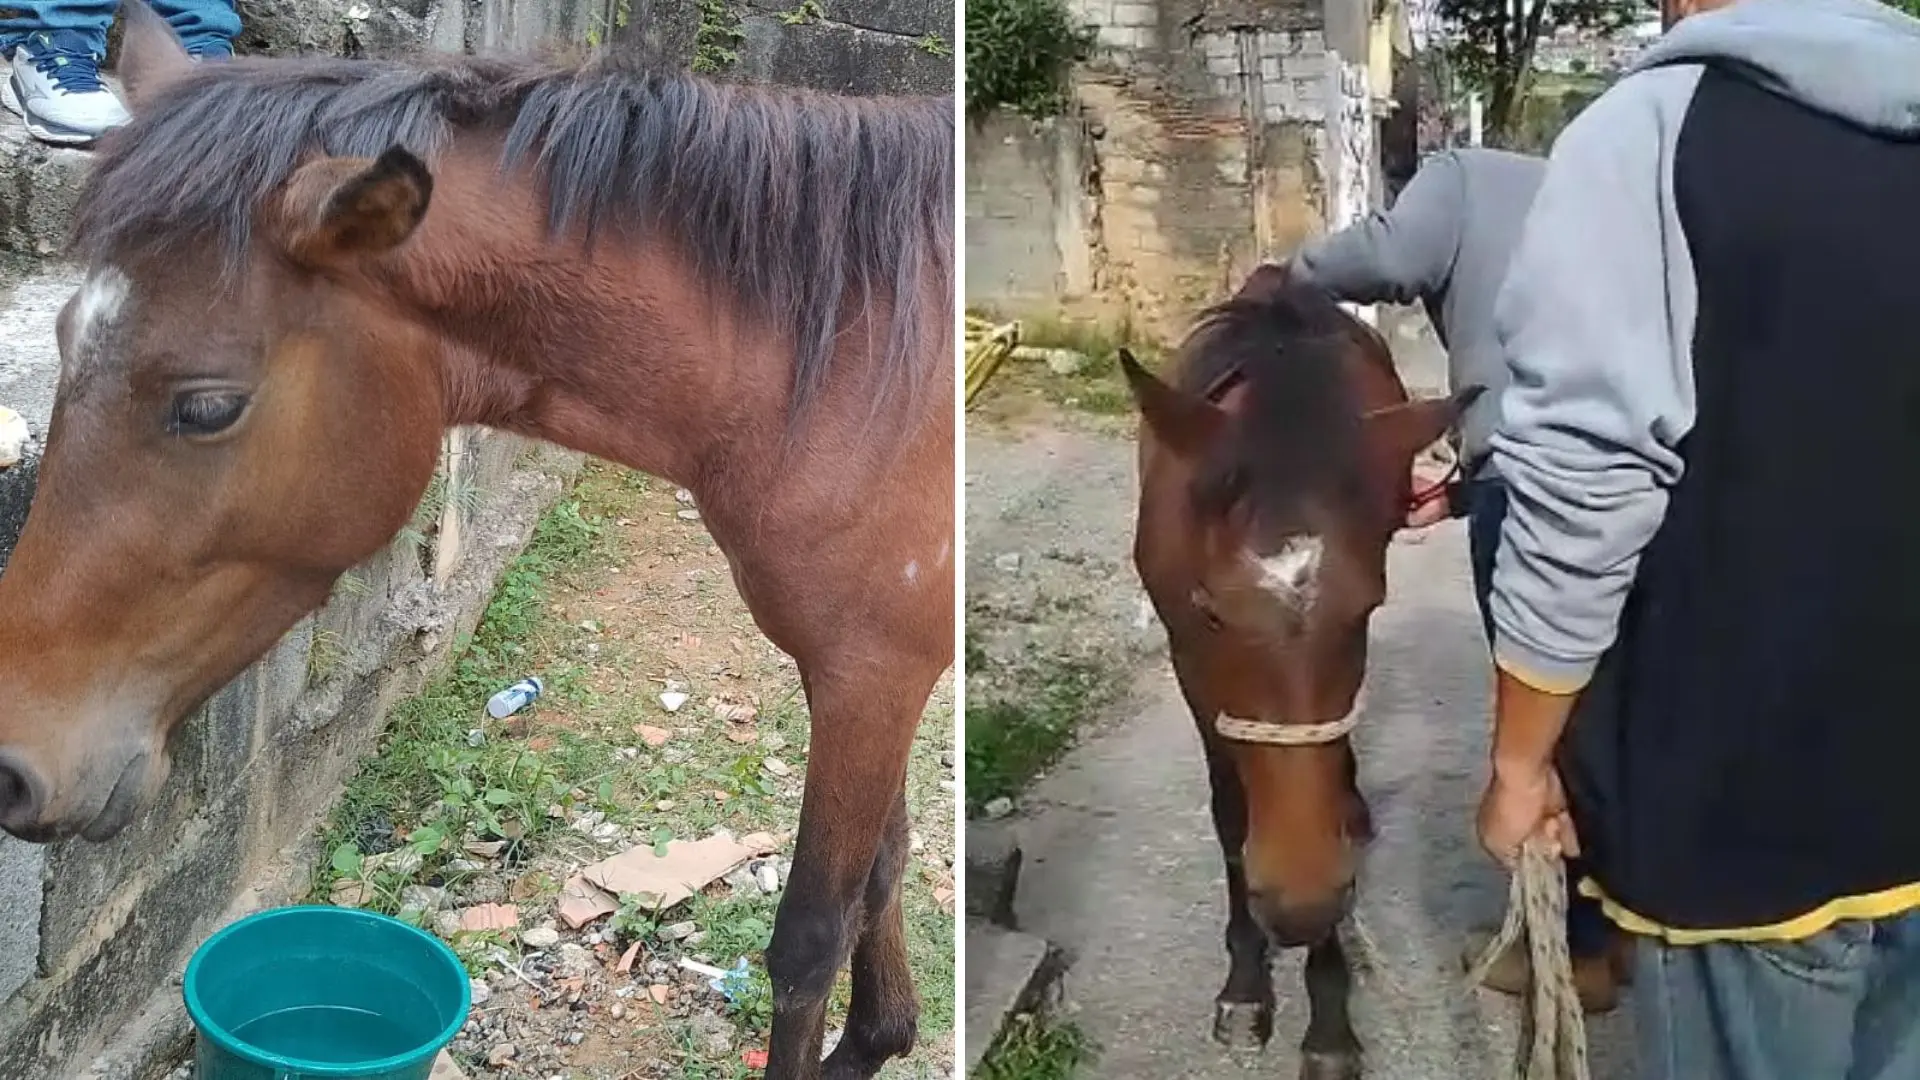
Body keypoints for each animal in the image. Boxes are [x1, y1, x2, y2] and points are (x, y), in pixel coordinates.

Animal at [0, 4, 956, 1068]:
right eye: (64, 341)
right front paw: (879, 1038)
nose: (12, 761)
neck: (854, 365)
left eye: (208, 406)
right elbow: (886, 866)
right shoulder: (860, 673)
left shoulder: (872, 673)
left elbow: (810, 937)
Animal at [1121, 263, 1474, 1076]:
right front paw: (1246, 983)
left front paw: (1331, 1023)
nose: (1297, 901)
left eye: (1367, 609)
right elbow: (1229, 812)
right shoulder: (1191, 663)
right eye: (1212, 612)